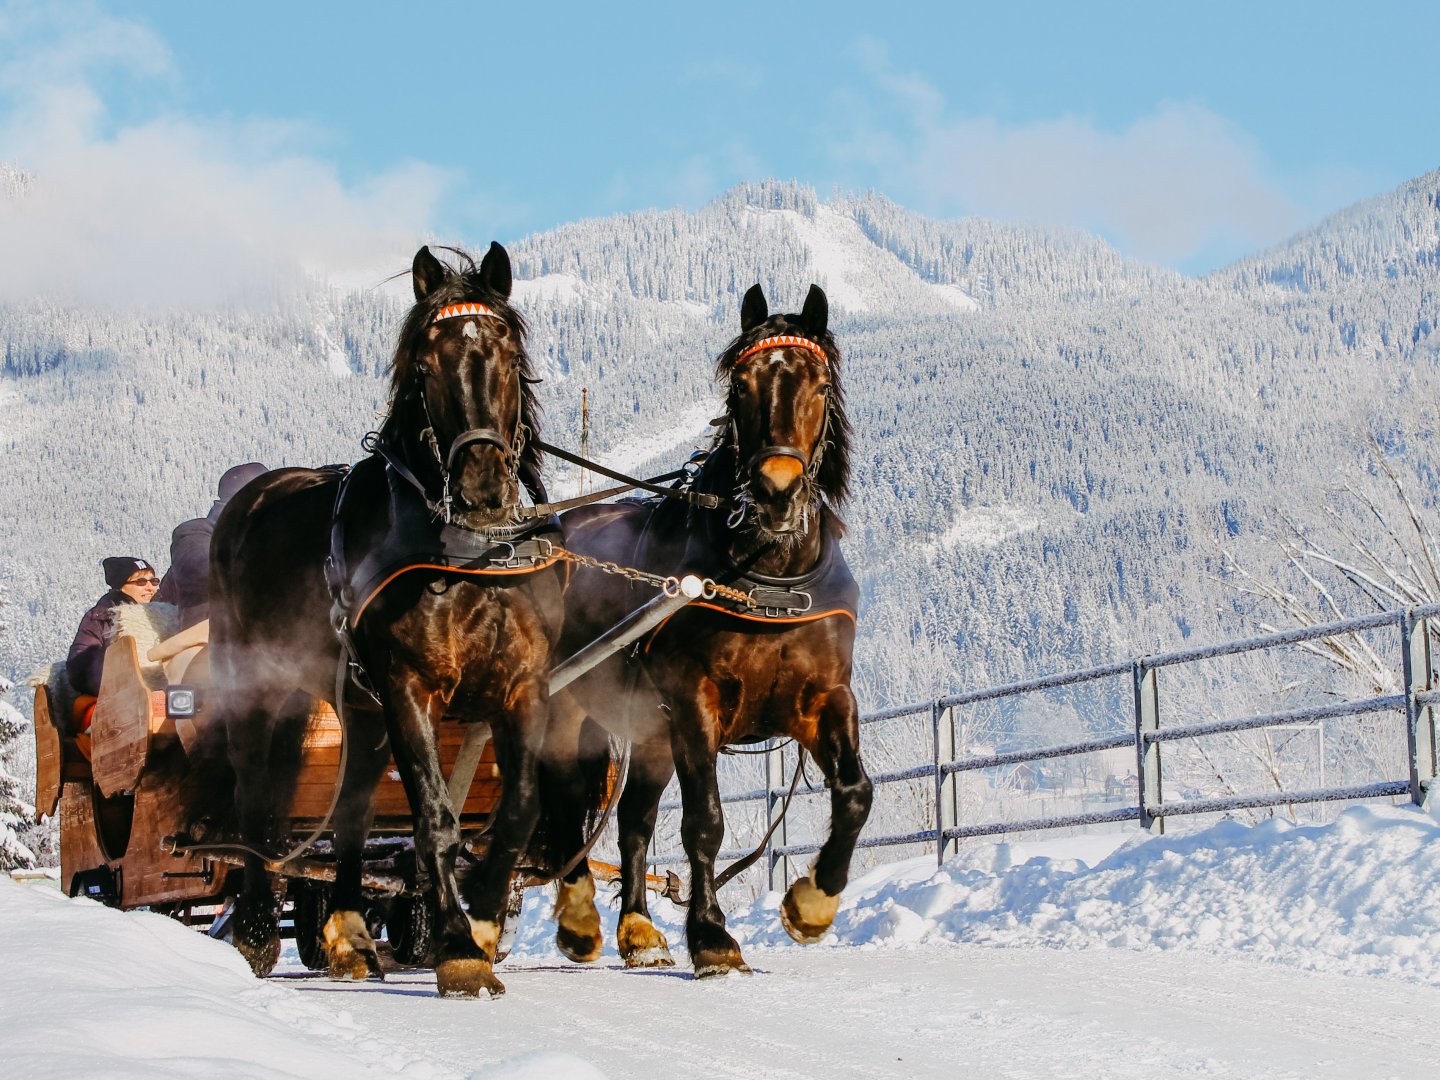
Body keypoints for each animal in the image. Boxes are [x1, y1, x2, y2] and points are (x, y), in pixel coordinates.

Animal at [208, 243, 567, 996]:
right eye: (426, 367)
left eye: (507, 354)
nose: (482, 485)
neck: (470, 552)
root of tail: (251, 497)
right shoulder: (411, 687)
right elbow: (435, 816)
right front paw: (459, 949)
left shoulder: (521, 687)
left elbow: (518, 811)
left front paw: (481, 922)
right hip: (263, 688)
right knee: (256, 796)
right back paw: (254, 932)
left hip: (360, 703)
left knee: (351, 807)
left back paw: (348, 938)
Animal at [547, 283, 864, 979]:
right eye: (741, 385)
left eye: (820, 383)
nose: (775, 492)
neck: (769, 574)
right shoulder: (695, 701)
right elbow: (705, 822)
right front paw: (713, 937)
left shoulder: (825, 698)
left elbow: (856, 793)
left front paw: (812, 904)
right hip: (566, 713)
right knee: (560, 808)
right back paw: (576, 920)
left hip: (647, 732)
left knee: (632, 821)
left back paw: (639, 931)